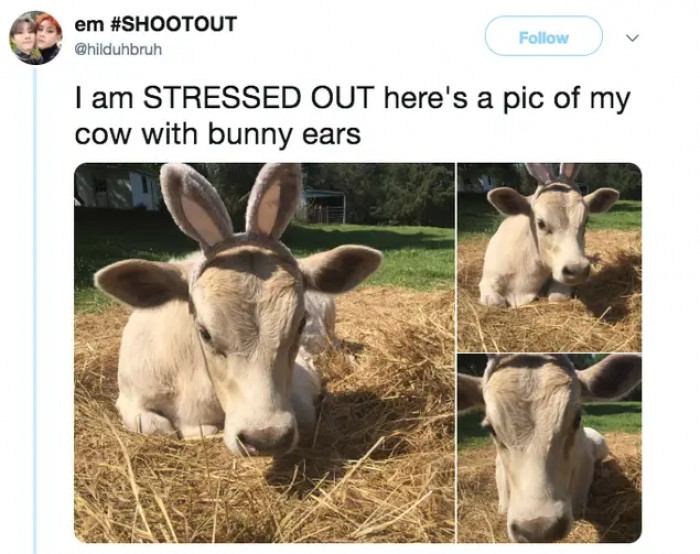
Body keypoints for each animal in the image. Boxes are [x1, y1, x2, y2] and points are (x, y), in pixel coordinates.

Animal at [94, 163, 382, 457]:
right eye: (204, 332)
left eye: (300, 323)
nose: (267, 438)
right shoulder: (129, 397)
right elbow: (158, 427)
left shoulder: (302, 382)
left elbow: (304, 411)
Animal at [479, 163, 620, 307]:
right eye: (540, 223)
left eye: (586, 221)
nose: (578, 270)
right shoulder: (488, 279)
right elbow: (495, 302)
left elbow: (557, 297)